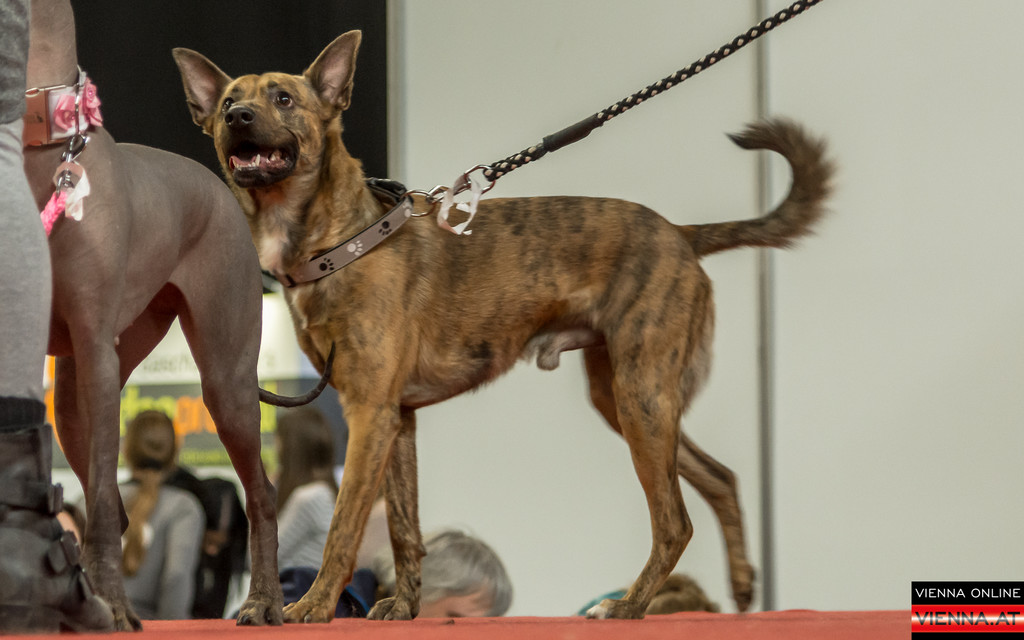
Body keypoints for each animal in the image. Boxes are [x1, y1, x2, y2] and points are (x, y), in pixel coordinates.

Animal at [20, 0, 330, 629]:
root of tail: (217, 186)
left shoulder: (95, 345)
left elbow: (99, 491)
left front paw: (115, 608)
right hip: (77, 389)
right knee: (111, 502)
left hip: (223, 381)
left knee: (259, 491)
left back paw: (263, 602)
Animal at [173, 31, 832, 621]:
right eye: (230, 99)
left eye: (284, 98)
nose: (237, 115)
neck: (343, 239)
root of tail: (681, 234)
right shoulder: (397, 421)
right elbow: (406, 529)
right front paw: (405, 607)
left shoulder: (368, 416)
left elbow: (344, 526)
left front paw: (309, 607)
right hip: (627, 398)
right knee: (719, 479)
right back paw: (741, 588)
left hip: (642, 395)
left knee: (674, 520)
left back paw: (627, 607)